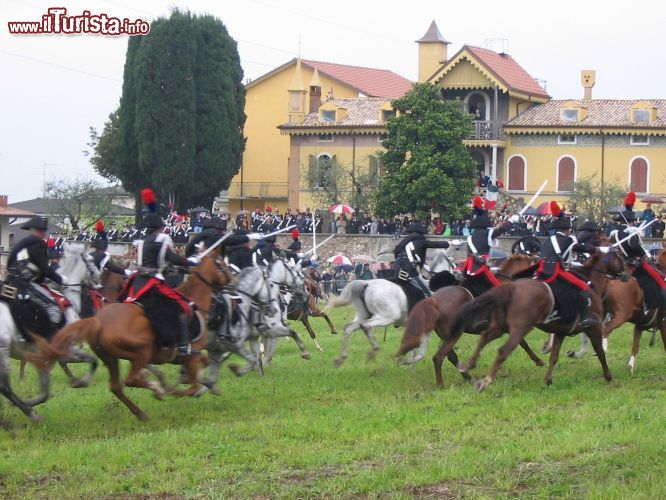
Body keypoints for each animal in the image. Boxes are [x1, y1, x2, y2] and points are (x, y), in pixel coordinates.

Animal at [32, 252, 230, 420]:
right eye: (221, 263)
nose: (232, 278)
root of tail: (98, 321)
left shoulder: (184, 358)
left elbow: (201, 366)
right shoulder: (189, 356)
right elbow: (192, 385)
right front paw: (176, 389)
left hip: (112, 358)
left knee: (116, 386)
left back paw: (141, 412)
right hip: (142, 352)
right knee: (130, 380)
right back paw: (157, 390)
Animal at [392, 254, 544, 386]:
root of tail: (433, 300)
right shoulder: (507, 326)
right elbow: (523, 343)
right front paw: (538, 360)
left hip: (447, 336)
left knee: (450, 356)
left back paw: (468, 377)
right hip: (454, 335)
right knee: (439, 357)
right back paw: (441, 385)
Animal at [448, 250, 620, 390]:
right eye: (619, 257)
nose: (624, 274)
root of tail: (512, 287)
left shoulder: (560, 331)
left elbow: (553, 356)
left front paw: (548, 377)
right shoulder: (593, 328)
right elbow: (600, 353)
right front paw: (609, 377)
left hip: (499, 327)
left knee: (483, 340)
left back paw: (467, 367)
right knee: (501, 350)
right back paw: (483, 380)